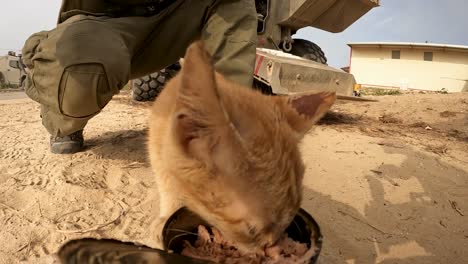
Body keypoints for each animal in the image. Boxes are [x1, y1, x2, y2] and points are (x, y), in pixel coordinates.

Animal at [148, 40, 334, 252]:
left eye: (288, 222)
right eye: (251, 230)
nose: (270, 247)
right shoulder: (157, 153)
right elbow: (168, 186)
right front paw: (165, 217)